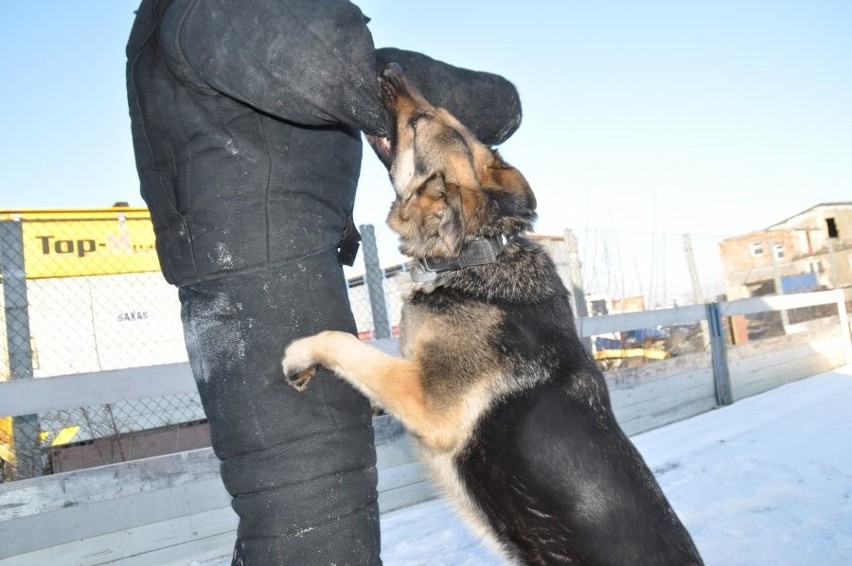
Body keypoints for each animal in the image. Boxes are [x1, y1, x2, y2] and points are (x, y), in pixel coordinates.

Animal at [282, 64, 704, 564]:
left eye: (420, 120)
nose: (391, 66)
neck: (474, 256)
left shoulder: (427, 401)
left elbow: (346, 344)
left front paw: (300, 355)